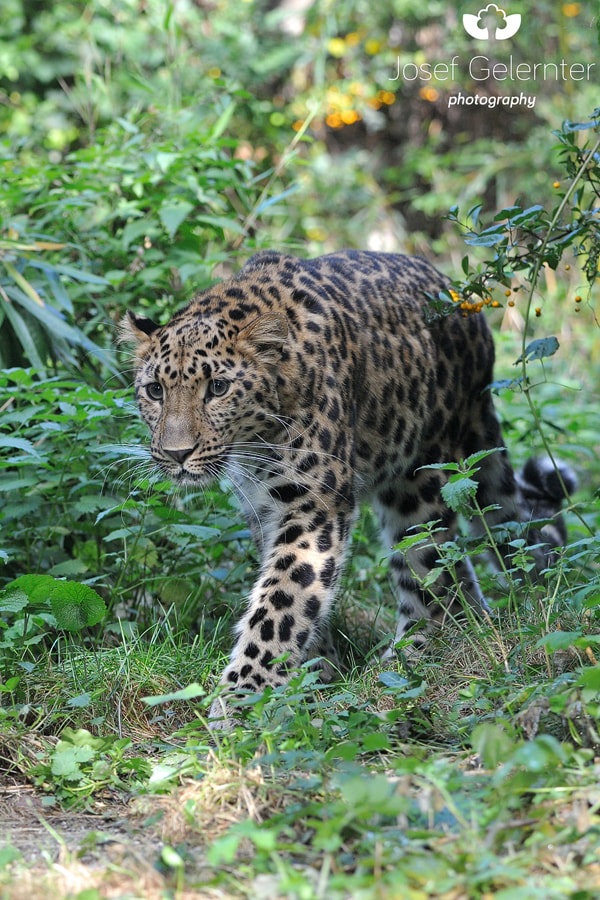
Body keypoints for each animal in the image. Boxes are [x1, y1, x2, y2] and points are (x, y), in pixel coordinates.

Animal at [121, 249, 576, 722]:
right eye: (154, 390)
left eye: (218, 387)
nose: (176, 453)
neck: (255, 439)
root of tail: (464, 304)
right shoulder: (263, 507)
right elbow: (297, 595)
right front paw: (313, 673)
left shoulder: (314, 503)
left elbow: (283, 599)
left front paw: (244, 695)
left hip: (420, 478)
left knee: (430, 570)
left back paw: (410, 658)